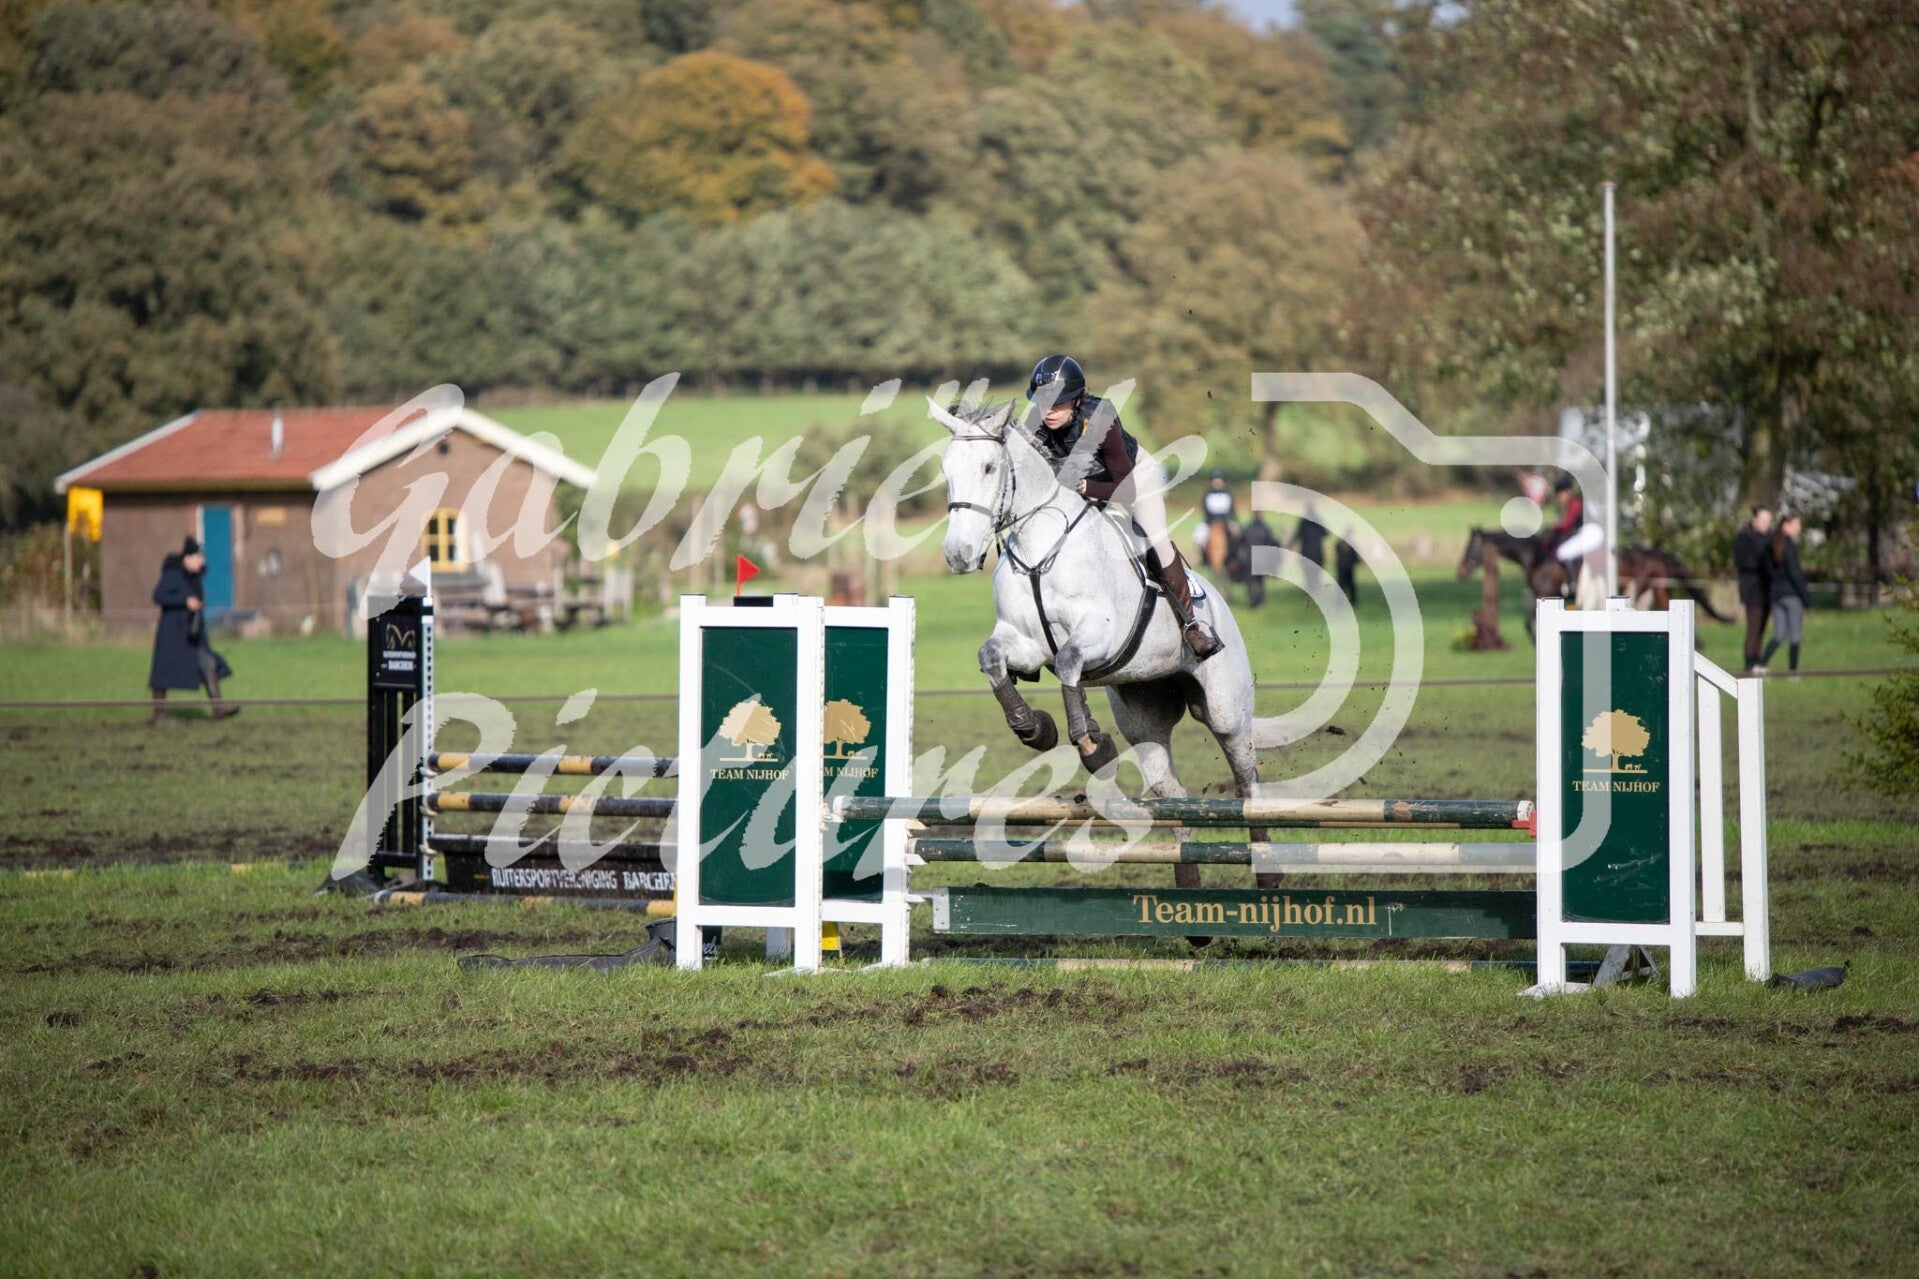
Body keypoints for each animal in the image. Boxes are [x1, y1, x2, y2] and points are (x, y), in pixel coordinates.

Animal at [931, 398, 1279, 893]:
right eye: (946, 469)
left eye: (988, 467)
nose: (958, 555)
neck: (1040, 548)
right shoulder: (1023, 643)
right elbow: (993, 659)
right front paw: (1034, 728)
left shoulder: (1100, 634)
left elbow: (1069, 660)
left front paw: (1092, 744)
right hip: (1144, 716)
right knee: (1171, 794)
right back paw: (1188, 882)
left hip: (1226, 709)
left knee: (1247, 781)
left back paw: (1267, 870)